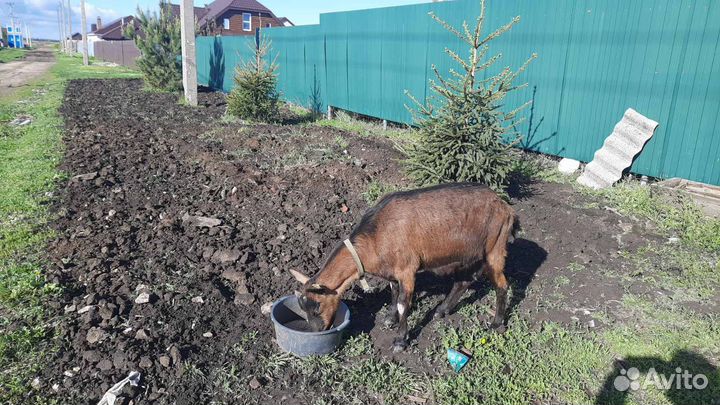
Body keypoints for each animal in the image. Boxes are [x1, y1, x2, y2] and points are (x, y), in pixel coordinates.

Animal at [289, 182, 519, 351]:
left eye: (317, 306)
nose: (316, 331)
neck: (375, 237)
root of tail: (506, 207)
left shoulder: (407, 270)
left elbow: (402, 304)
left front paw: (400, 340)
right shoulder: (393, 272)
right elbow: (393, 292)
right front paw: (390, 319)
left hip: (495, 248)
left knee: (501, 285)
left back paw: (496, 324)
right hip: (467, 254)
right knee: (464, 281)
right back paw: (441, 310)